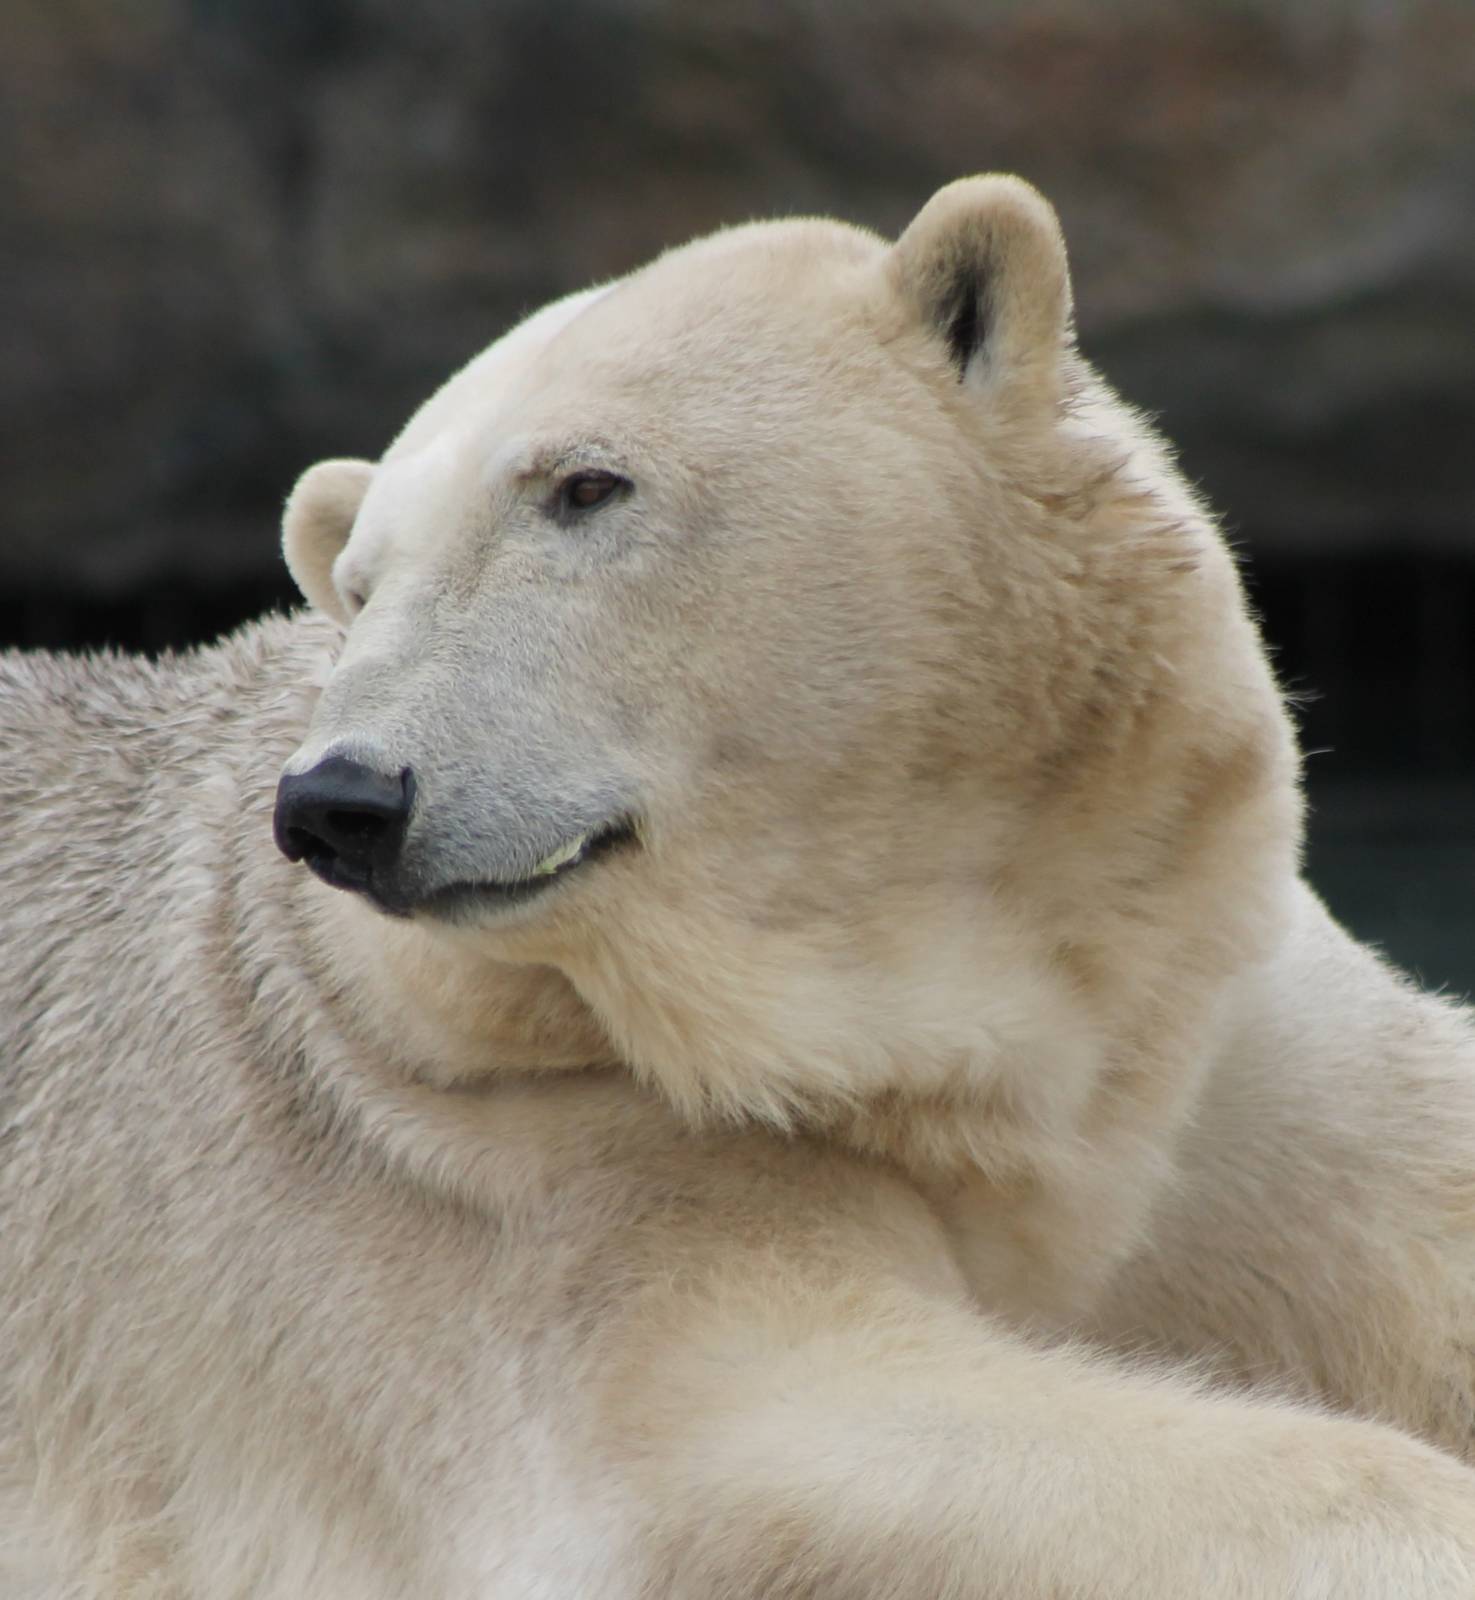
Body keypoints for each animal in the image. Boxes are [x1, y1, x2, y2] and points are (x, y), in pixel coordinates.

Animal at [3, 175, 1475, 1598]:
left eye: (584, 486)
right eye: (359, 586)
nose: (342, 799)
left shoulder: (1206, 1021)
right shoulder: (509, 1165)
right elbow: (757, 1436)